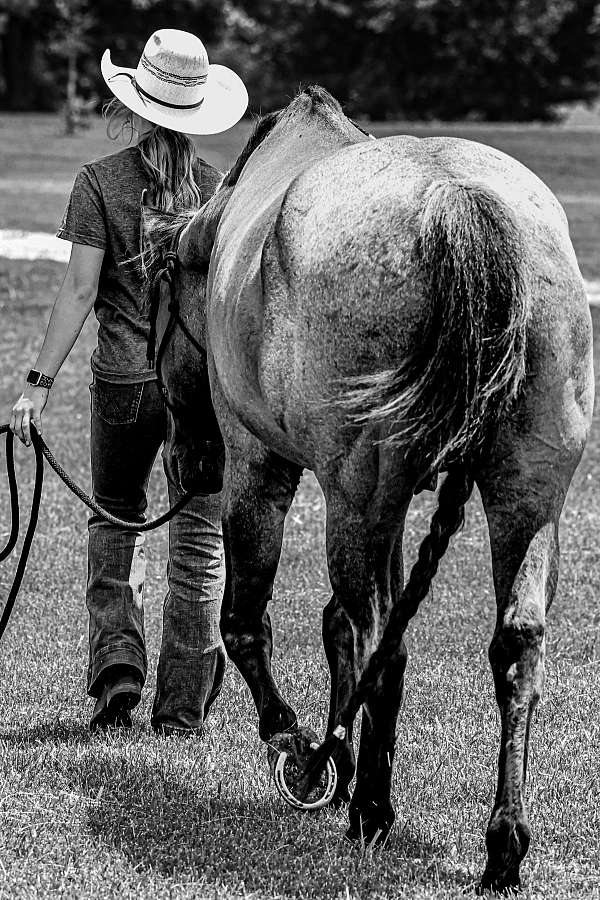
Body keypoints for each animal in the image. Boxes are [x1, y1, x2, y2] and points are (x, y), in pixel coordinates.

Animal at [148, 86, 594, 892]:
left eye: (160, 311)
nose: (190, 467)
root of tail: (460, 204)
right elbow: (338, 630)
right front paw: (339, 756)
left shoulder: (261, 467)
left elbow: (248, 622)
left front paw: (300, 748)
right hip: (525, 494)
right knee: (511, 644)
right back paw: (502, 845)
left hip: (357, 499)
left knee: (377, 636)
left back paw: (372, 812)